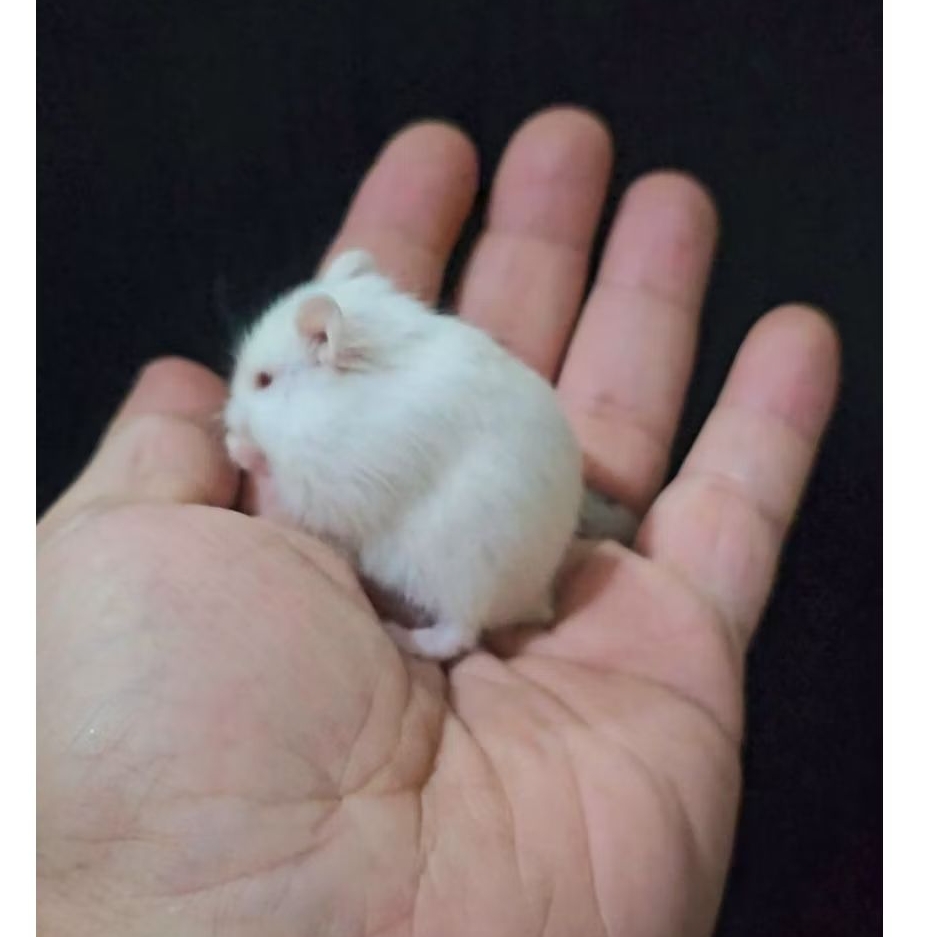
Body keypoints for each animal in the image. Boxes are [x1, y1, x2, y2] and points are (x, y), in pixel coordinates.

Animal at [224, 250, 635, 660]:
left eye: (263, 380)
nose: (226, 421)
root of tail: (535, 598)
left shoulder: (330, 479)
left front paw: (238, 448)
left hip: (459, 574)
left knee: (459, 635)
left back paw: (401, 635)